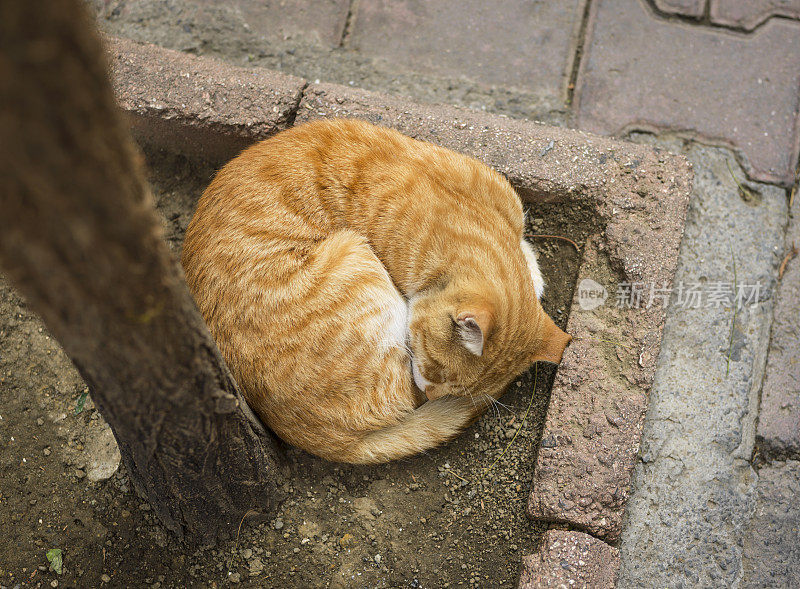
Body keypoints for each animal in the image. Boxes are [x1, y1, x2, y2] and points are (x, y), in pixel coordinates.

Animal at [181, 118, 568, 464]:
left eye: (456, 386)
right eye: (436, 371)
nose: (432, 394)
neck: (471, 210)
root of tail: (332, 444)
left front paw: (533, 272)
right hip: (357, 263)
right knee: (404, 398)